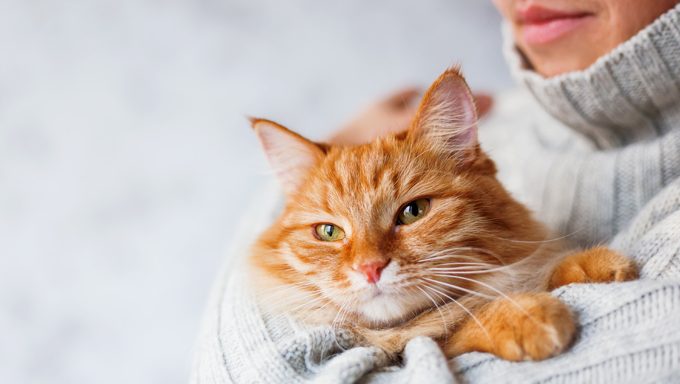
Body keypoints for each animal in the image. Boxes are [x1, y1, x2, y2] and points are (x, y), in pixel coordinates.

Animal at [248, 67, 636, 362]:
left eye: (413, 212)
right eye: (329, 232)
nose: (370, 269)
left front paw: (590, 265)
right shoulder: (419, 344)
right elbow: (461, 325)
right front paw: (524, 316)